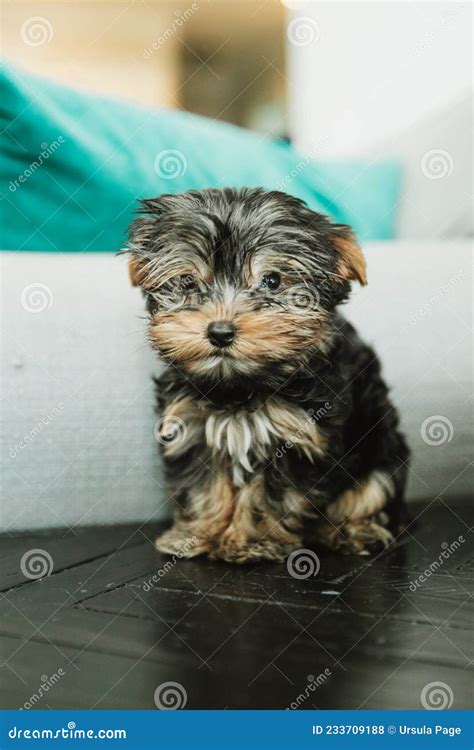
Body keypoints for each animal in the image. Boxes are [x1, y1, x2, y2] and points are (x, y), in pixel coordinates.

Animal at [128, 188, 410, 564]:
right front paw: (197, 534)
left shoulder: (296, 437)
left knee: (371, 494)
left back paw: (353, 533)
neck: (239, 387)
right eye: (187, 281)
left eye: (272, 281)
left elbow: (268, 495)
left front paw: (251, 542)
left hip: (382, 452)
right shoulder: (193, 426)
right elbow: (203, 484)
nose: (219, 332)